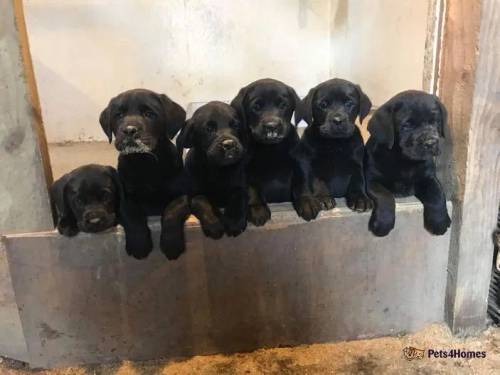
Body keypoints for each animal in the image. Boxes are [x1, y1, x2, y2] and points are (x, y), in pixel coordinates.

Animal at [99, 89, 188, 258]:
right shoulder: (124, 198)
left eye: (149, 114)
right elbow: (132, 216)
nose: (129, 130)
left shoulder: (182, 195)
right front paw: (139, 245)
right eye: (119, 115)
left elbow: (172, 210)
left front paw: (171, 244)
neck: (144, 163)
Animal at [166, 101, 248, 247]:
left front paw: (234, 221)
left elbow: (238, 196)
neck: (217, 170)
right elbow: (201, 200)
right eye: (208, 129)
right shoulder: (192, 195)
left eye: (235, 125)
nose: (230, 144)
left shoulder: (240, 186)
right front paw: (214, 222)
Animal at [230, 78, 300, 226]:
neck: (270, 148)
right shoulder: (245, 170)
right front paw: (258, 210)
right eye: (256, 107)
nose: (272, 126)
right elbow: (252, 188)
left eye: (283, 105)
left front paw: (308, 202)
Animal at [294, 79, 374, 220]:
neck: (335, 143)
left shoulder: (356, 163)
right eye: (323, 105)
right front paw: (323, 197)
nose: (337, 120)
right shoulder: (311, 162)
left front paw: (360, 198)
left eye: (349, 103)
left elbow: (358, 180)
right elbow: (317, 180)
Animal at [366, 90, 452, 236]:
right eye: (406, 126)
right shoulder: (371, 180)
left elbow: (438, 195)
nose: (431, 142)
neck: (405, 161)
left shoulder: (428, 178)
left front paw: (439, 221)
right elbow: (385, 195)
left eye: (435, 121)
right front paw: (383, 223)